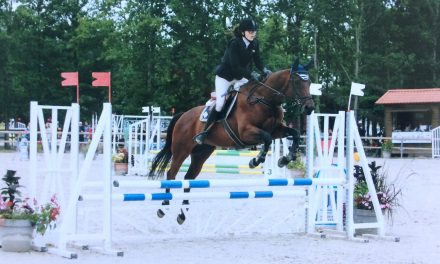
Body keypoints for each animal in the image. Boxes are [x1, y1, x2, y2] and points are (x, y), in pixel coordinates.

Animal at [150, 57, 314, 223]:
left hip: (201, 152)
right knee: (171, 173)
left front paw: (285, 159)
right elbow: (267, 140)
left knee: (189, 177)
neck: (266, 99)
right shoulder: (246, 133)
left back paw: (183, 213)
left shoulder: (276, 130)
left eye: (309, 82)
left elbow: (294, 133)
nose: (309, 108)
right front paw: (255, 161)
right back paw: (163, 207)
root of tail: (183, 115)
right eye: (297, 81)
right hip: (181, 149)